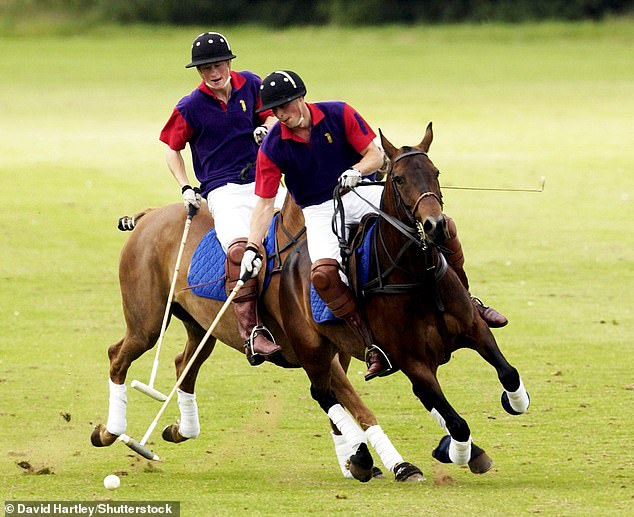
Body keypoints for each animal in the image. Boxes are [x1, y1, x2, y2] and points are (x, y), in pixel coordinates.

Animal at [90, 191, 424, 482]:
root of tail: (150, 215)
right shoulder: (314, 352)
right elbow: (359, 408)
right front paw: (397, 465)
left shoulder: (335, 355)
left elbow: (339, 406)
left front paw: (355, 461)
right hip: (147, 323)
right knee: (117, 355)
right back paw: (109, 432)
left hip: (201, 326)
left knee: (183, 363)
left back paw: (179, 430)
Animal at [276, 123, 528, 474]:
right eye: (398, 179)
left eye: (436, 172)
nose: (435, 226)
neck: (418, 276)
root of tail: (291, 257)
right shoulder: (413, 362)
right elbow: (457, 422)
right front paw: (455, 452)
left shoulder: (475, 330)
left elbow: (508, 373)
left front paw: (513, 402)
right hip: (312, 350)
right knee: (322, 393)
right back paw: (362, 457)